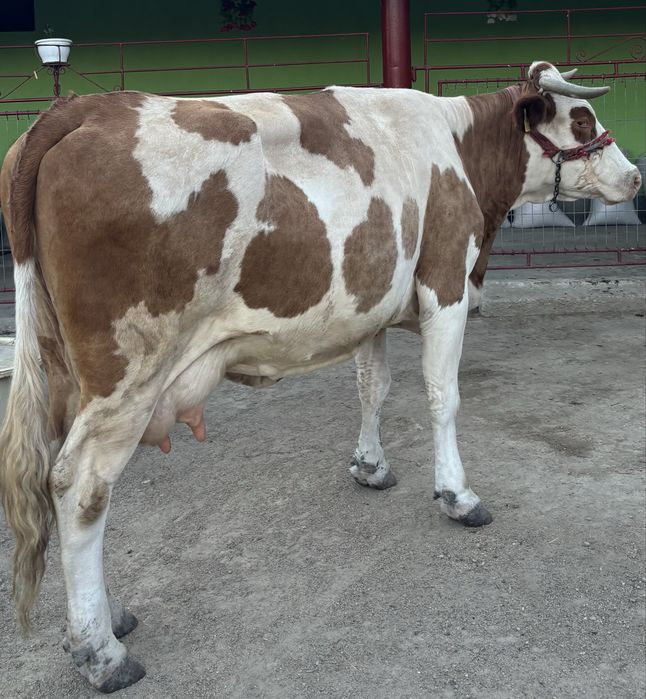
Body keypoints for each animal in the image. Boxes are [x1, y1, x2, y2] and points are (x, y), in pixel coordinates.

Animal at [0, 60, 641, 692]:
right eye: (582, 121)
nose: (635, 178)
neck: (457, 145)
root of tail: (83, 108)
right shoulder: (445, 287)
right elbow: (443, 397)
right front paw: (458, 495)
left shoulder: (371, 305)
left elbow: (372, 387)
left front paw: (370, 465)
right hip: (128, 375)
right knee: (80, 487)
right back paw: (100, 651)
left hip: (66, 372)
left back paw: (108, 617)